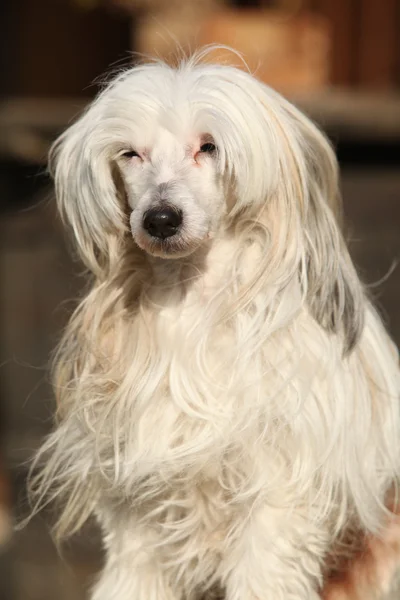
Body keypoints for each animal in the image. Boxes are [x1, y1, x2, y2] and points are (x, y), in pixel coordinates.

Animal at [30, 51, 400, 600]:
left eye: (208, 147)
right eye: (130, 154)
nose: (160, 218)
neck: (192, 307)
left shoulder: (277, 497)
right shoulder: (139, 503)